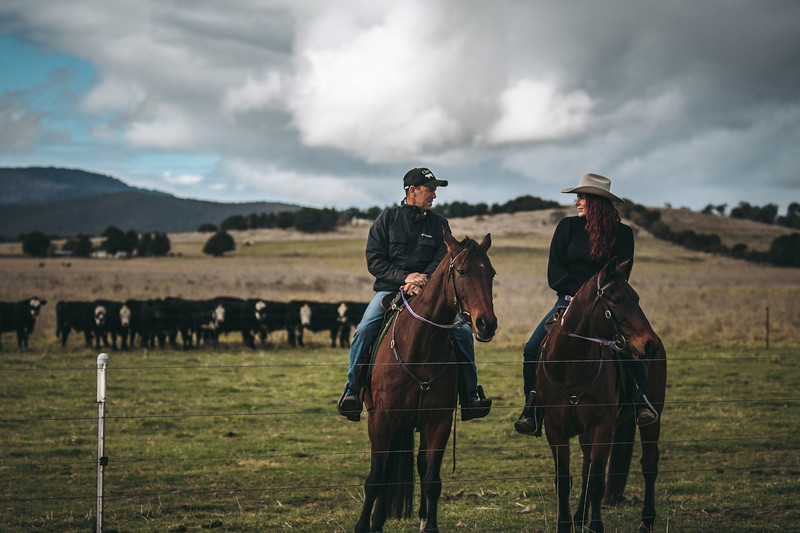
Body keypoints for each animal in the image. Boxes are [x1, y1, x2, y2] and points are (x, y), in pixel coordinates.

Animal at [354, 233, 496, 532]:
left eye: (491, 273)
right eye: (462, 271)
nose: (487, 324)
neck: (420, 346)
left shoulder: (438, 421)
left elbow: (432, 480)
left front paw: (429, 525)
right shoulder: (381, 420)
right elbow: (375, 478)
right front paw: (363, 525)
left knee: (419, 464)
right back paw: (376, 521)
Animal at [536, 258, 664, 532]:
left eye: (637, 298)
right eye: (615, 299)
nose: (650, 344)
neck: (571, 365)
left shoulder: (602, 427)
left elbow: (597, 481)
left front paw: (596, 526)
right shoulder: (555, 429)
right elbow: (565, 481)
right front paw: (565, 524)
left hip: (651, 420)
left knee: (649, 464)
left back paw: (646, 521)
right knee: (586, 466)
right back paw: (579, 516)